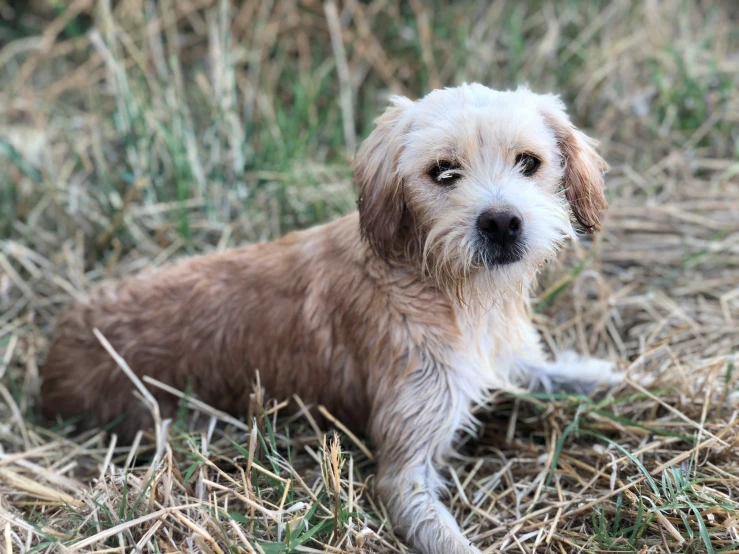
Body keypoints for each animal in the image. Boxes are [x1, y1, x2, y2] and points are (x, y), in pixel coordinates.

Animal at [43, 84, 620, 548]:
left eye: (529, 162)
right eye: (443, 172)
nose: (501, 222)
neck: (445, 290)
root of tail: (52, 359)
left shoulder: (509, 361)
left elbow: (561, 373)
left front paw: (628, 379)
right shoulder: (404, 470)